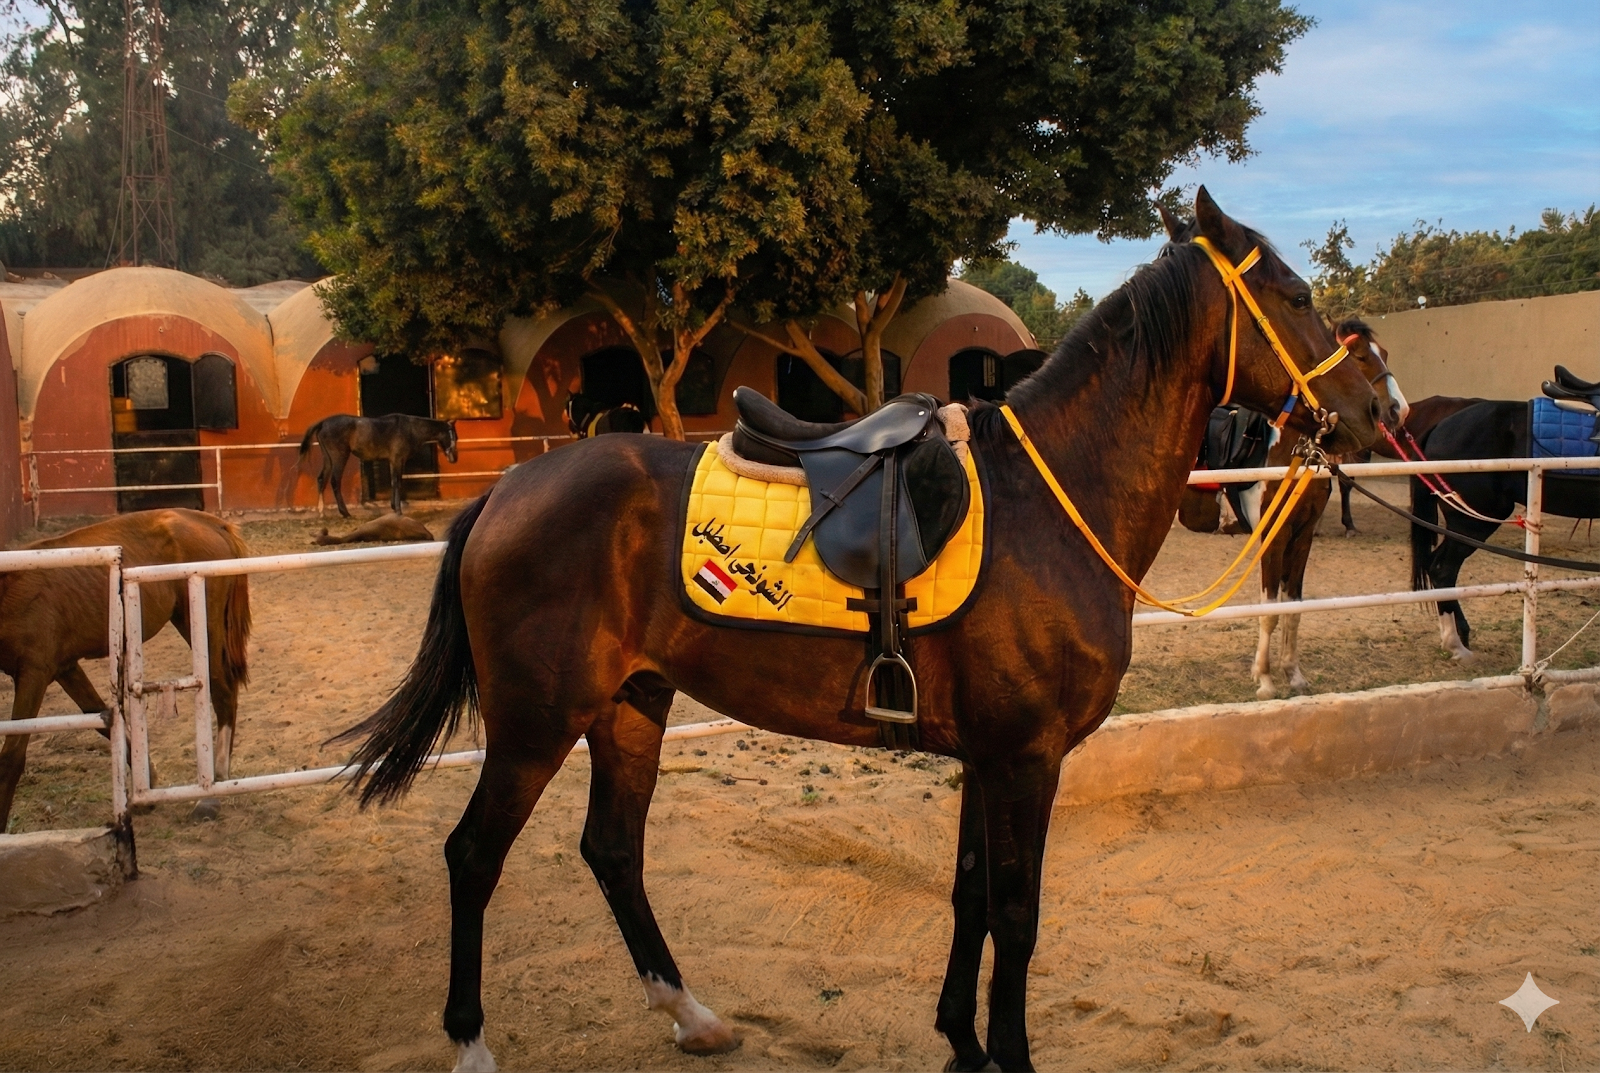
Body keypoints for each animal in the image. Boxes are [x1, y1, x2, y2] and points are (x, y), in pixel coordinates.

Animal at [0, 509, 252, 828]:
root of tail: (212, 523)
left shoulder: (34, 673)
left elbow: (11, 757)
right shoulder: (65, 668)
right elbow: (101, 719)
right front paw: (148, 784)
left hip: (202, 628)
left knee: (222, 693)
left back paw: (211, 795)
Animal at [299, 414, 459, 517]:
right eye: (452, 435)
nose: (454, 458)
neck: (410, 428)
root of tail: (324, 423)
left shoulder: (394, 461)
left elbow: (394, 482)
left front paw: (394, 507)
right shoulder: (397, 459)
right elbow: (397, 482)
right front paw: (398, 511)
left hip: (328, 458)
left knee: (322, 479)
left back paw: (322, 512)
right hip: (339, 457)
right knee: (334, 481)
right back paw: (345, 513)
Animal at [337, 189, 1380, 1073]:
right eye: (1298, 295)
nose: (1374, 410)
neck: (1050, 500)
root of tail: (507, 490)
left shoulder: (988, 755)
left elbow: (970, 896)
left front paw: (961, 1040)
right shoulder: (1028, 757)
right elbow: (1018, 911)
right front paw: (1007, 1053)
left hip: (631, 705)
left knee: (613, 850)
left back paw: (691, 1013)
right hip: (536, 721)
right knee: (474, 856)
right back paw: (472, 1043)